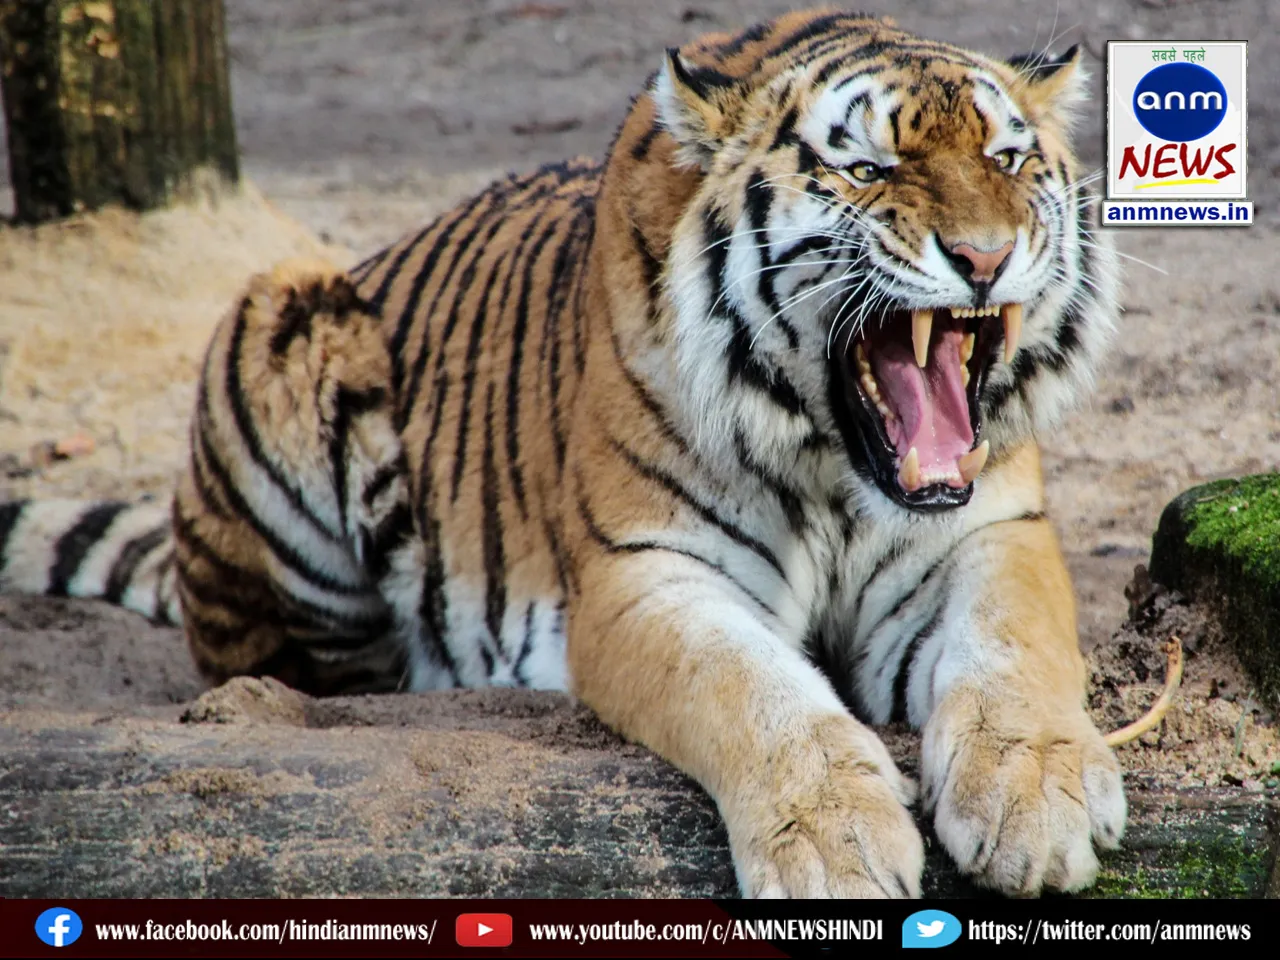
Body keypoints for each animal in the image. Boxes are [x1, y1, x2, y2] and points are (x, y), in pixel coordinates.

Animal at [0, 9, 1126, 897]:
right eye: (867, 169)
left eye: (1007, 161)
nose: (983, 256)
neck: (833, 467)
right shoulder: (646, 573)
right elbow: (755, 692)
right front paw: (834, 846)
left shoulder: (989, 534)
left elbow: (1015, 649)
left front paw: (1037, 801)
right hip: (280, 311)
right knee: (294, 666)